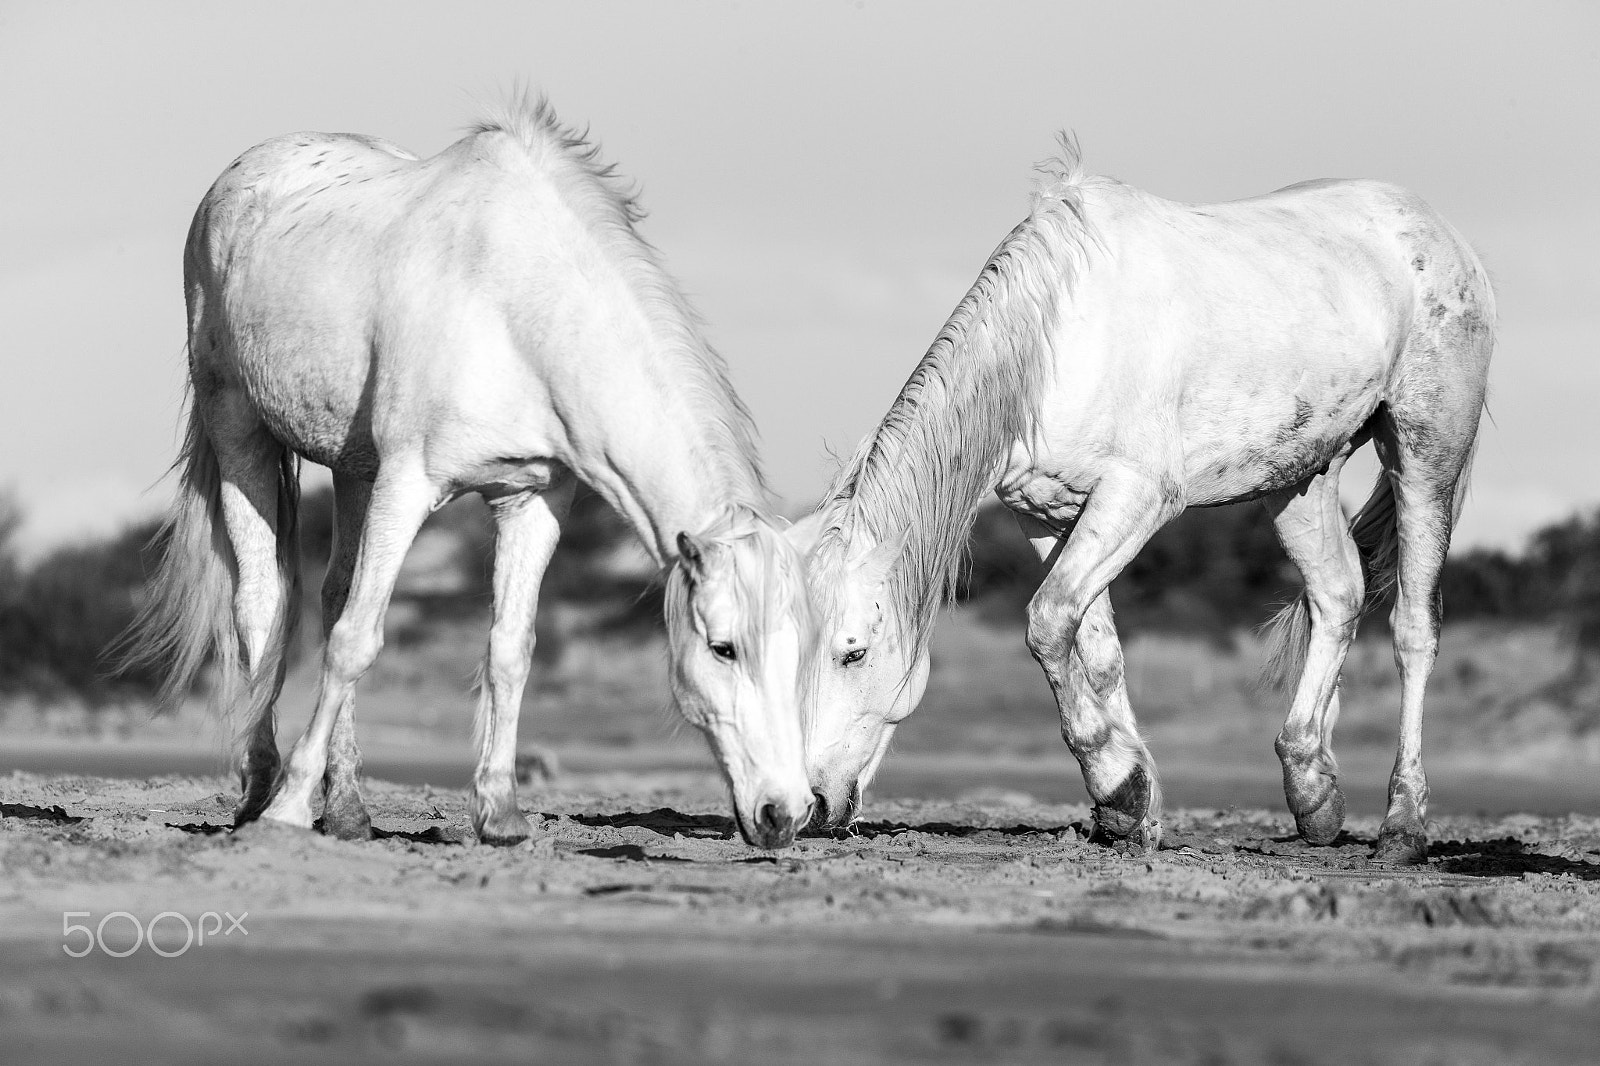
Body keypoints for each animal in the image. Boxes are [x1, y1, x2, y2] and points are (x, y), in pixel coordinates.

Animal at [123, 98, 817, 850]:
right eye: (723, 648)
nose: (785, 814)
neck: (517, 308)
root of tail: (245, 171)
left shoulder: (532, 499)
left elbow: (510, 649)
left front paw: (501, 814)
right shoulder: (409, 484)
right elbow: (354, 643)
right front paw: (289, 807)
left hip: (354, 469)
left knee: (334, 596)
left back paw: (348, 811)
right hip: (239, 430)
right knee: (261, 604)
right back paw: (259, 794)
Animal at [793, 137, 1494, 865]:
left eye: (853, 652)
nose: (812, 805)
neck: (1059, 340)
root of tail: (1433, 226)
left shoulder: (1137, 497)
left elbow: (1047, 623)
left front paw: (1118, 787)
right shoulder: (1046, 516)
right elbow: (1097, 653)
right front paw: (1131, 810)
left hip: (1426, 456)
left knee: (1412, 629)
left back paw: (1402, 824)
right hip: (1300, 478)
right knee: (1338, 595)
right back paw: (1312, 792)